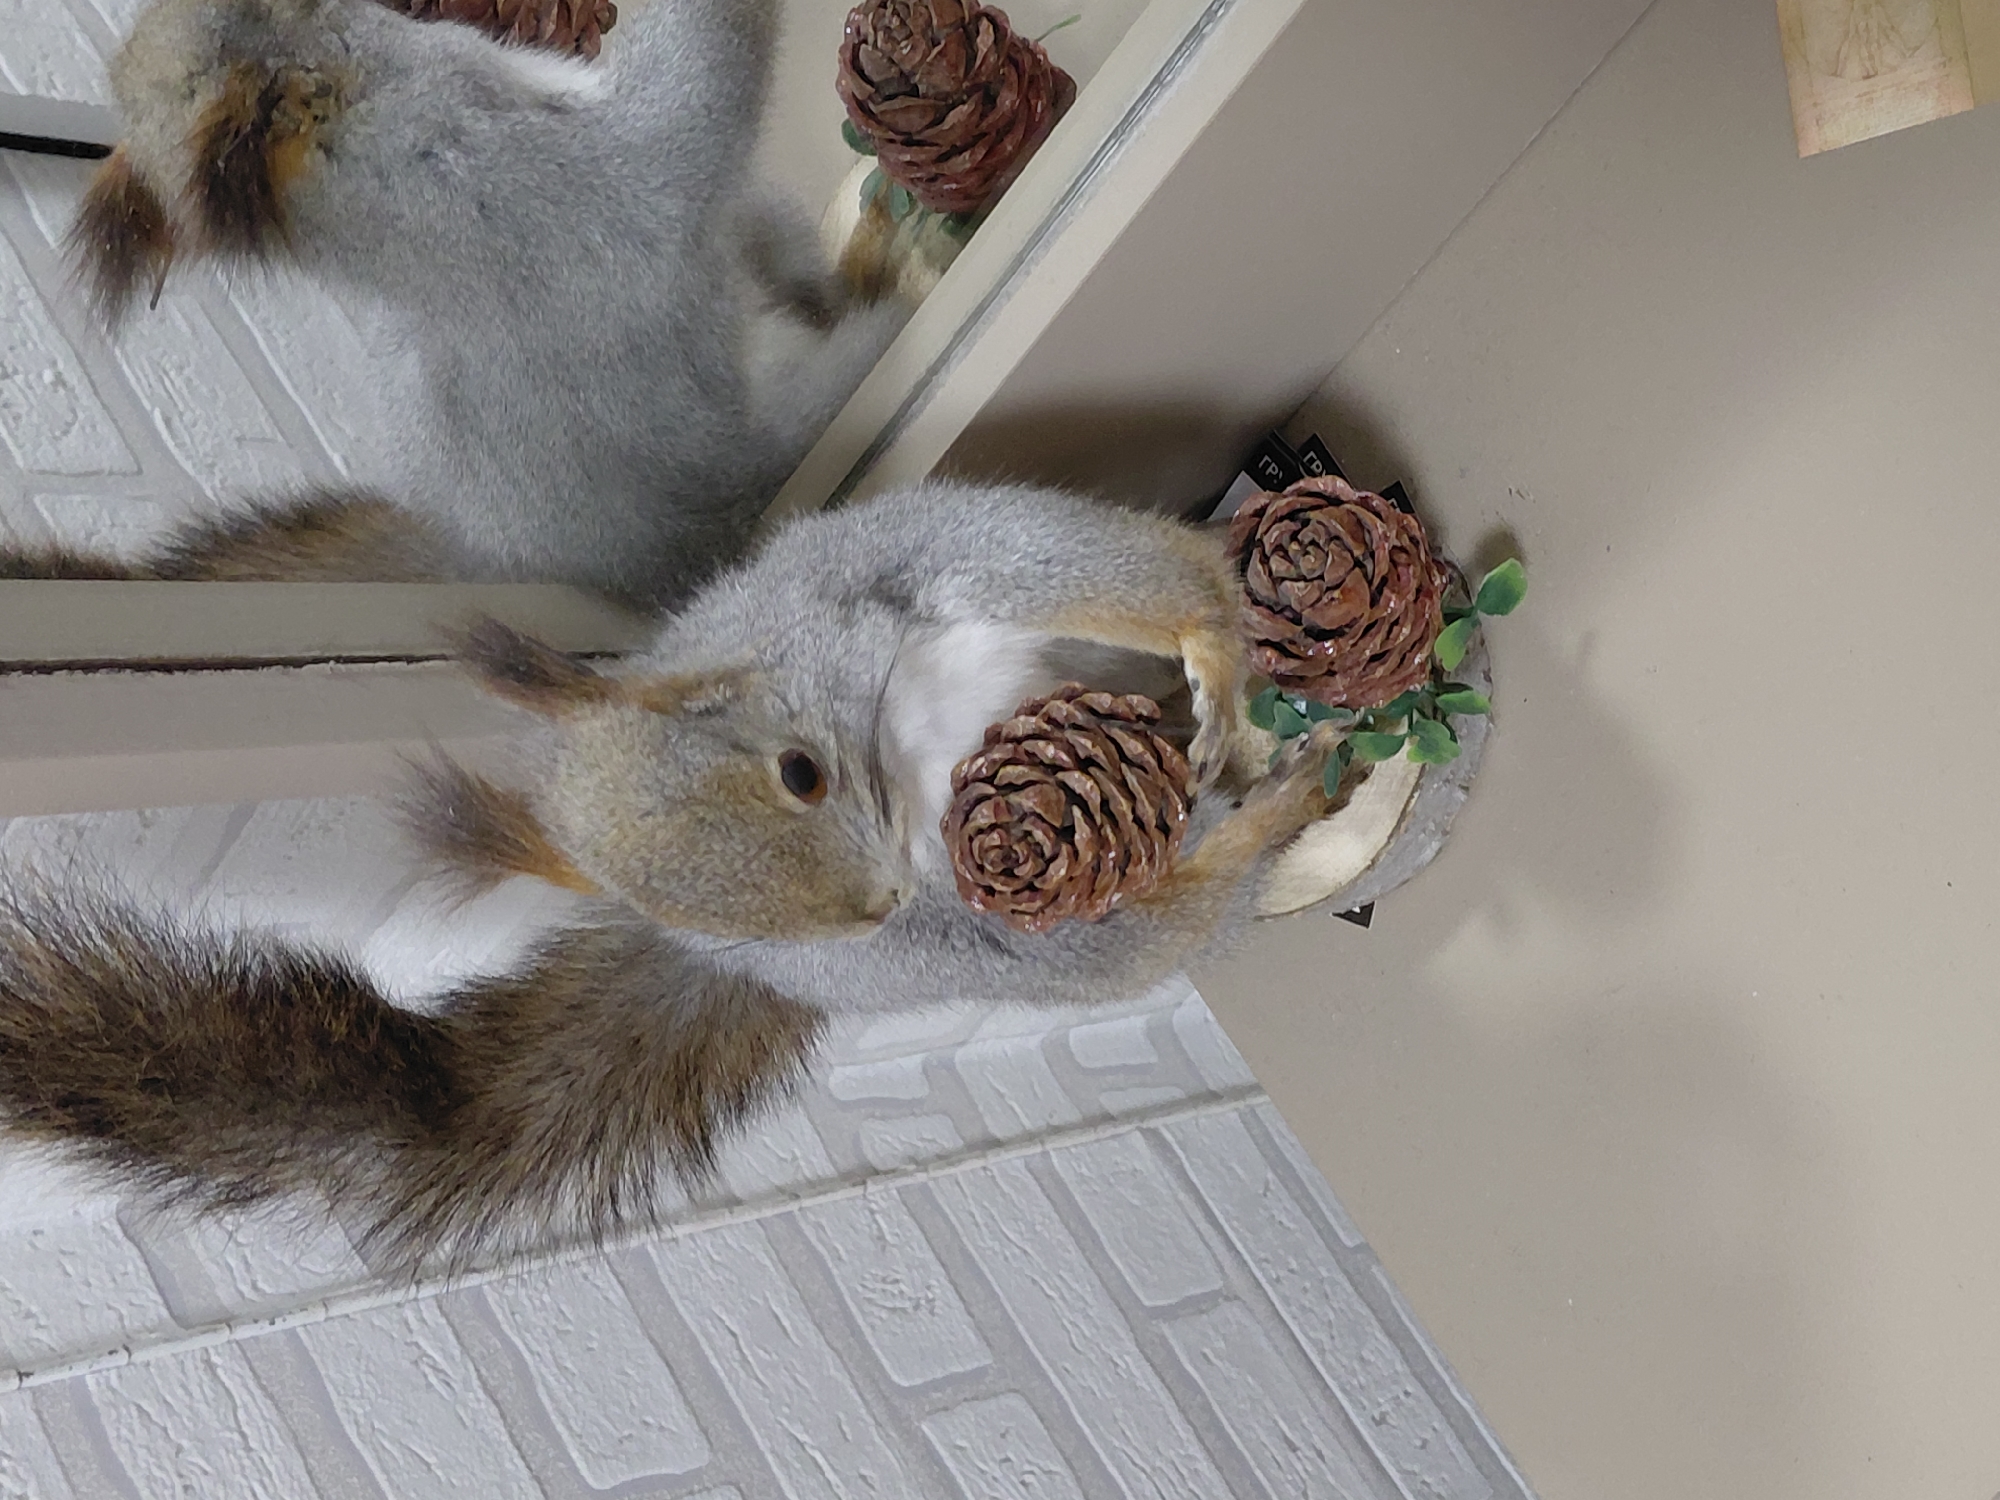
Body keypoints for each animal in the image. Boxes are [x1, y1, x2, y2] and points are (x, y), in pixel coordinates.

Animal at [0, 483, 1342, 1270]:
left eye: (800, 773)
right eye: (685, 908)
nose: (871, 910)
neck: (904, 756)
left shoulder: (922, 567)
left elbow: (1103, 570)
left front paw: (1217, 650)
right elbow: (1022, 936)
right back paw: (1276, 809)